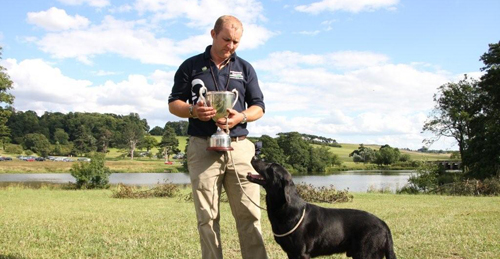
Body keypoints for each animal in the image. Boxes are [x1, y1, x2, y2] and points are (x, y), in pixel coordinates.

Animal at [248, 158, 396, 259]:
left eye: (271, 167)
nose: (254, 157)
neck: (286, 209)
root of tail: (384, 225)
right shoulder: (291, 253)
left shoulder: (301, 253)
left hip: (366, 253)